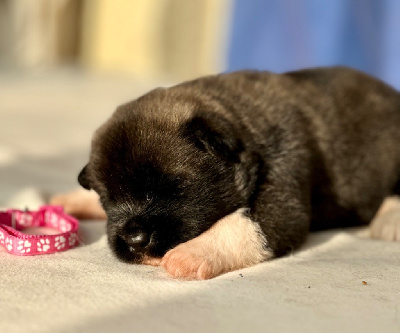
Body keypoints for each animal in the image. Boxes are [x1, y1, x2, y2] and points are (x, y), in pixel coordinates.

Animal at [51, 66, 400, 278]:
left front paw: (193, 252)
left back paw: (389, 221)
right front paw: (75, 199)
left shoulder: (282, 192)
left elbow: (242, 223)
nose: (135, 240)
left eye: (173, 188)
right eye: (107, 200)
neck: (242, 125)